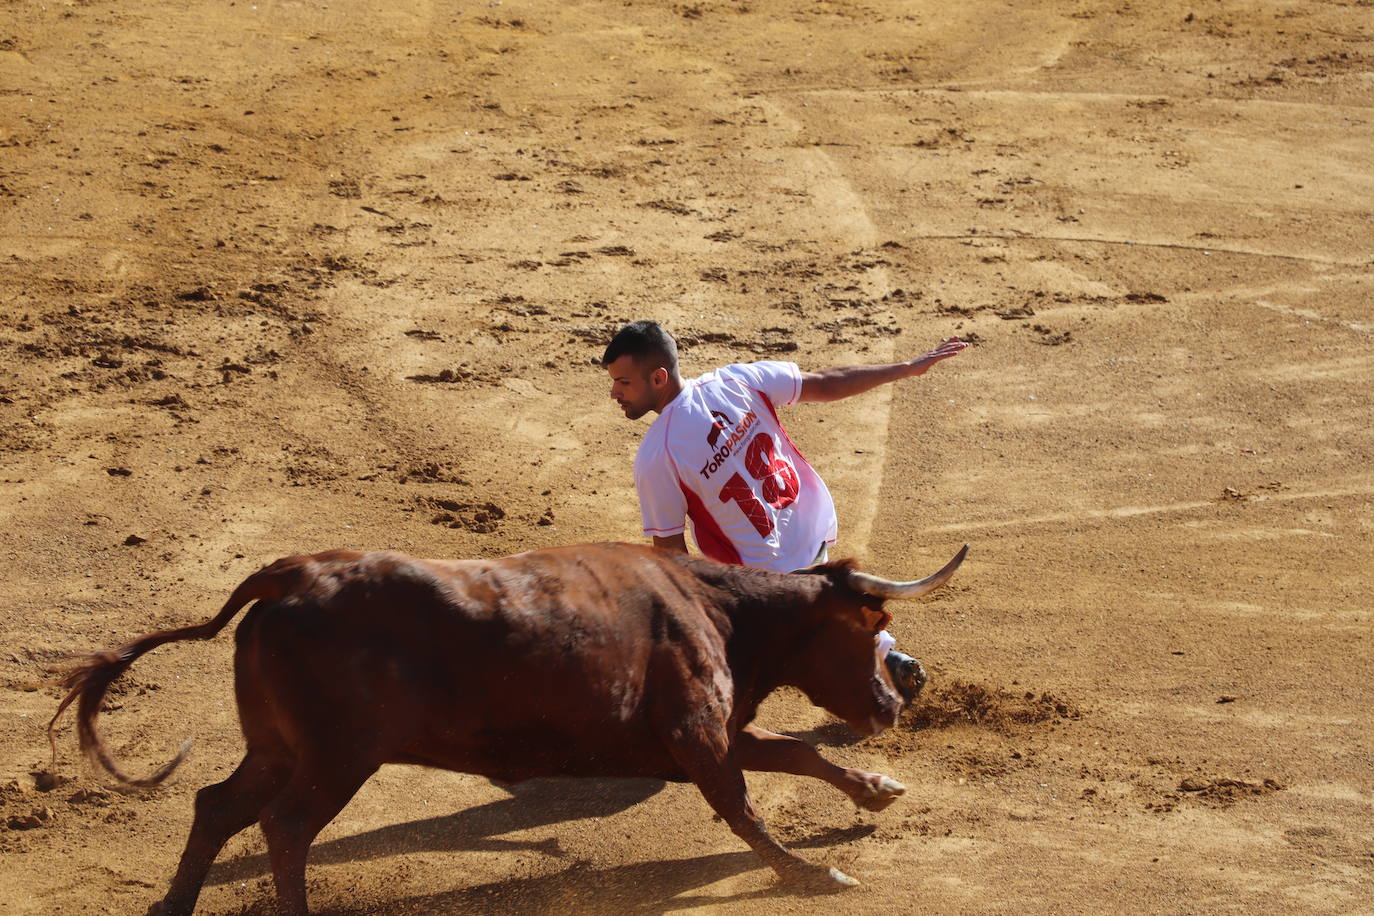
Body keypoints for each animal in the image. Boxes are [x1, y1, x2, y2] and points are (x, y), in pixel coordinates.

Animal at [45, 541, 967, 911]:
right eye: (870, 626)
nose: (894, 704)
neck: (715, 607)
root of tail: (290, 575)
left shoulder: (699, 735)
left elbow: (796, 755)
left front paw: (877, 792)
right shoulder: (698, 735)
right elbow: (743, 805)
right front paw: (810, 874)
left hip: (276, 746)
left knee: (217, 805)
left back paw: (172, 906)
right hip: (339, 756)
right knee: (285, 824)